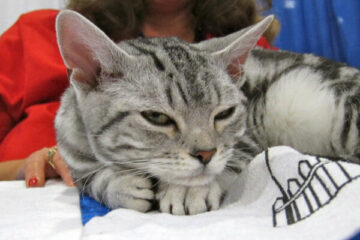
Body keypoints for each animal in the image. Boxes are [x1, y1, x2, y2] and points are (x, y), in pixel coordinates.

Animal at [54, 10, 360, 215]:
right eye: (157, 117)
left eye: (224, 113)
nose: (205, 154)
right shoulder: (71, 157)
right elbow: (89, 178)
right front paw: (117, 184)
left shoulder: (247, 138)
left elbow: (231, 157)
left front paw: (189, 189)